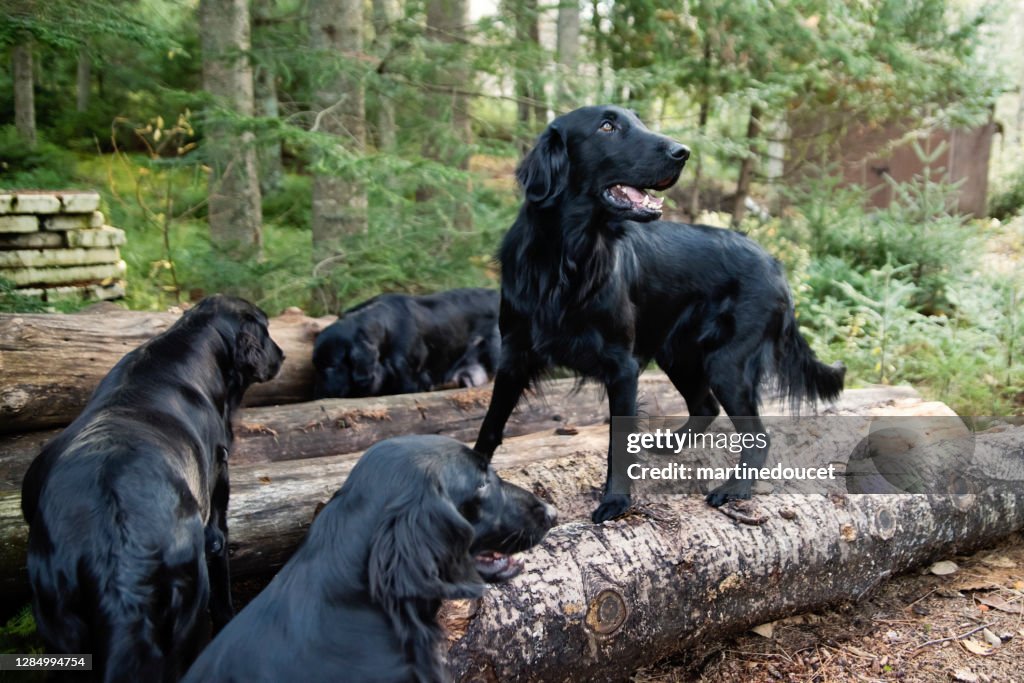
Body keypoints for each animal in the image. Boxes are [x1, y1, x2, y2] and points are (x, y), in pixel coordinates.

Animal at [20, 294, 284, 683]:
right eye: (266, 329)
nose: (282, 355)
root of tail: (116, 555)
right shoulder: (215, 527)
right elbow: (224, 601)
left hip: (59, 628)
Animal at [475, 105, 843, 524]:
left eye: (638, 121)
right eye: (607, 126)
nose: (682, 152)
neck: (567, 259)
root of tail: (774, 262)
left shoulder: (622, 366)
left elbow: (618, 441)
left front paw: (615, 501)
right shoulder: (515, 354)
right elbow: (490, 426)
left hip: (726, 362)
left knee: (757, 434)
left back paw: (735, 489)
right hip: (679, 354)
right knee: (705, 406)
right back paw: (669, 444)